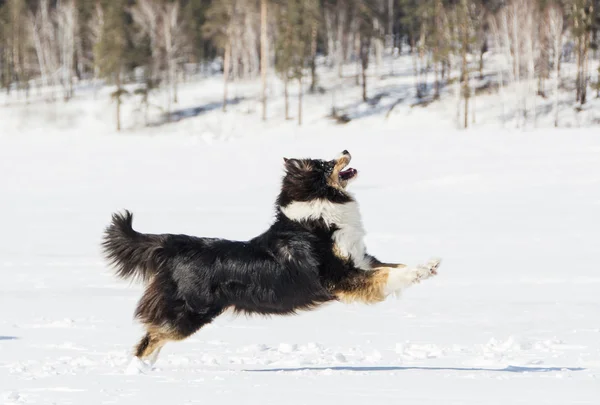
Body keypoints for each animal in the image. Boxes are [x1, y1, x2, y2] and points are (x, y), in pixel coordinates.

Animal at [102, 150, 440, 370]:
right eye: (325, 163)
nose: (346, 149)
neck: (319, 213)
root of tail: (178, 244)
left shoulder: (361, 261)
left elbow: (393, 268)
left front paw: (427, 268)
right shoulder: (340, 279)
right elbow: (388, 276)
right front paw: (426, 267)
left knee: (154, 335)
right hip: (189, 313)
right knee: (150, 337)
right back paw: (137, 372)